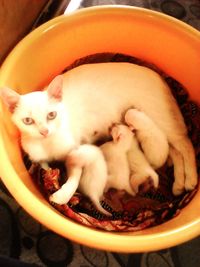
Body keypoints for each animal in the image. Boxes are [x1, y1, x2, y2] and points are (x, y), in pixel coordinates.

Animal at [0, 62, 197, 197]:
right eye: (28, 121)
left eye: (51, 115)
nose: (44, 131)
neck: (47, 145)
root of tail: (160, 77)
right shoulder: (39, 157)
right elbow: (43, 165)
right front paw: (45, 173)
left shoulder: (75, 151)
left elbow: (75, 176)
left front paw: (63, 195)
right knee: (174, 152)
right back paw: (178, 185)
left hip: (164, 122)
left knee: (186, 145)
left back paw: (191, 180)